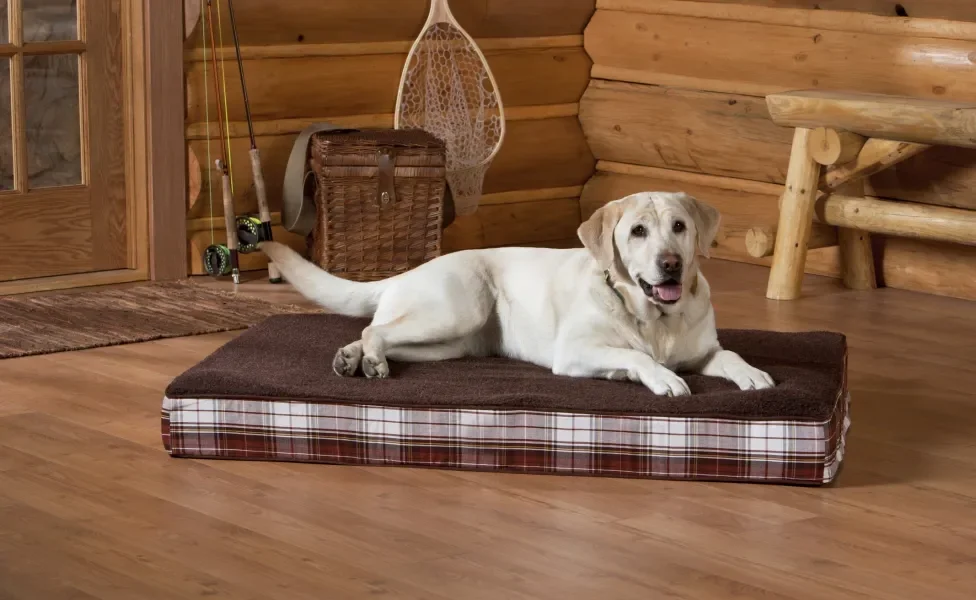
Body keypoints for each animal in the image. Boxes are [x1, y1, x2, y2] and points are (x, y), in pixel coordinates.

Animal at [258, 192, 772, 396]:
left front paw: (752, 373)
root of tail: (408, 270)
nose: (671, 264)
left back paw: (353, 359)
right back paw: (369, 362)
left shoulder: (703, 350)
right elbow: (635, 356)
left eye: (679, 227)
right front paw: (660, 377)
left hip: (450, 344)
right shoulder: (574, 352)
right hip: (458, 309)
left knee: (378, 332)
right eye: (638, 232)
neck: (657, 318)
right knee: (374, 329)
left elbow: (729, 356)